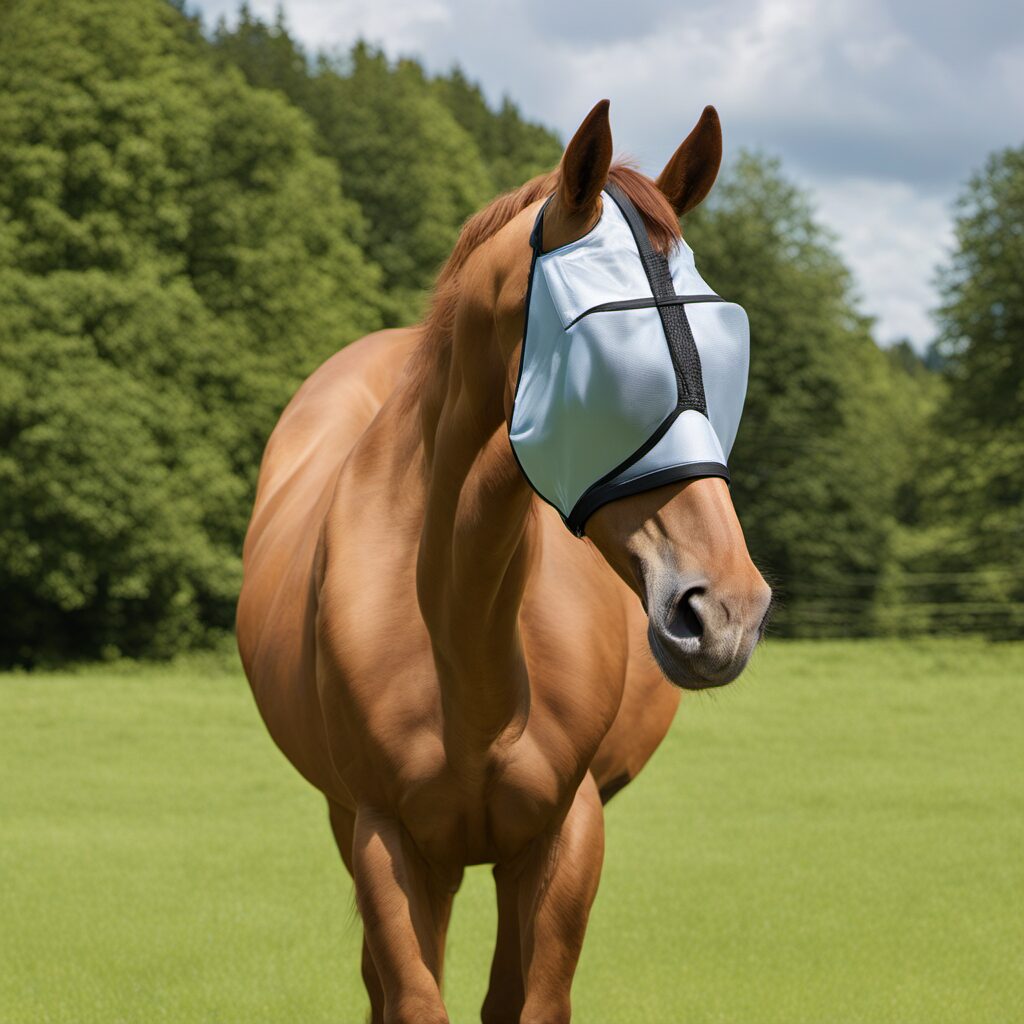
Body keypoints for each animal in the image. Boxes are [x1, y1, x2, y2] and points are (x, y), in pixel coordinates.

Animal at [237, 99, 771, 1024]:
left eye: (724, 347)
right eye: (603, 367)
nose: (727, 611)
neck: (463, 638)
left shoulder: (565, 830)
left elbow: (529, 1001)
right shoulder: (387, 836)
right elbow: (411, 999)